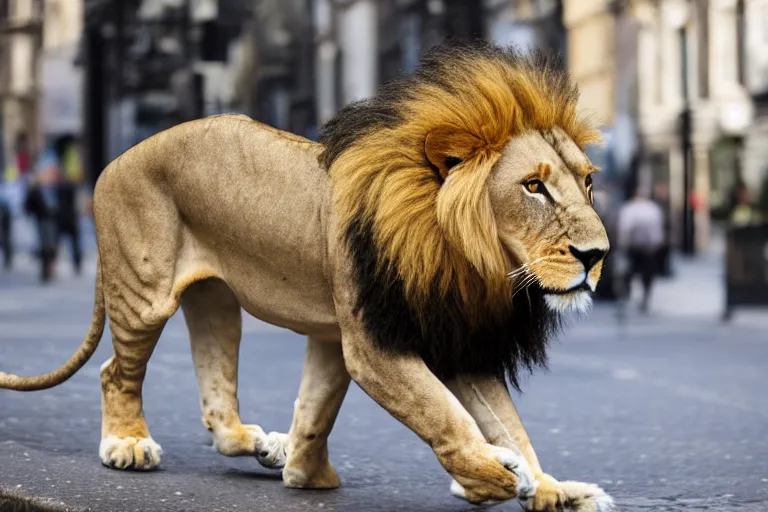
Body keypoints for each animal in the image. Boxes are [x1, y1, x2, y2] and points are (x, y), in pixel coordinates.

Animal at [0, 42, 612, 510]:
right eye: (533, 186)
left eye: (587, 182)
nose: (598, 254)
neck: (468, 259)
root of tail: (115, 160)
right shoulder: (374, 344)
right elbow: (444, 416)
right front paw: (491, 476)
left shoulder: (431, 338)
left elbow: (500, 424)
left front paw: (555, 490)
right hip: (144, 293)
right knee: (114, 373)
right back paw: (128, 445)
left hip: (217, 302)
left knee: (217, 402)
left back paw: (261, 445)